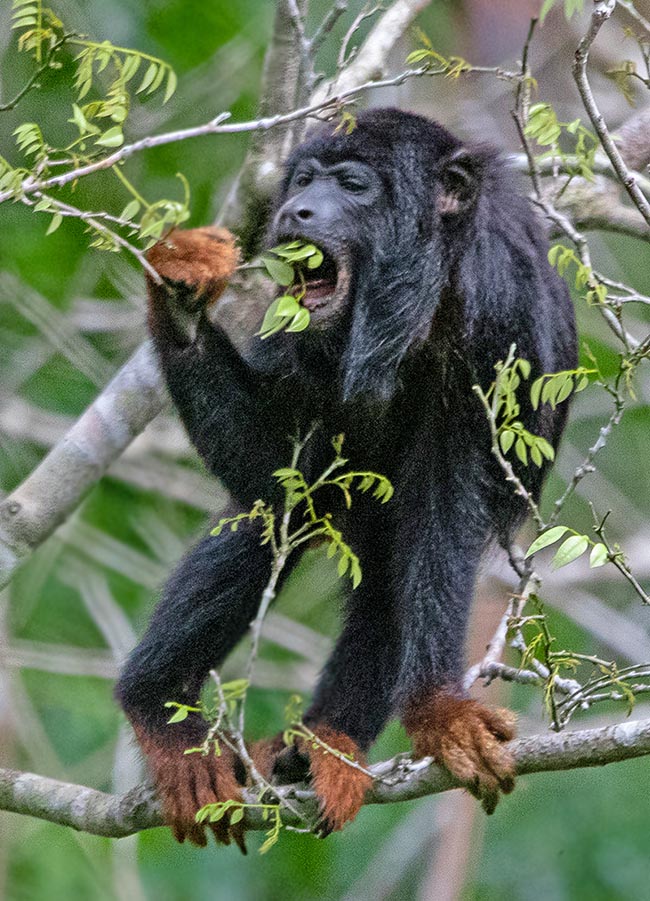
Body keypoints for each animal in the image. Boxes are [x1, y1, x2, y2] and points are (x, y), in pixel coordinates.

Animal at [114, 109, 576, 848]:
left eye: (354, 185)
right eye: (304, 180)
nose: (296, 210)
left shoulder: (498, 319)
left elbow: (446, 510)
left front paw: (439, 711)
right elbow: (271, 473)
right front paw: (181, 292)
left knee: (393, 574)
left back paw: (323, 743)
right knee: (286, 516)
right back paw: (161, 710)